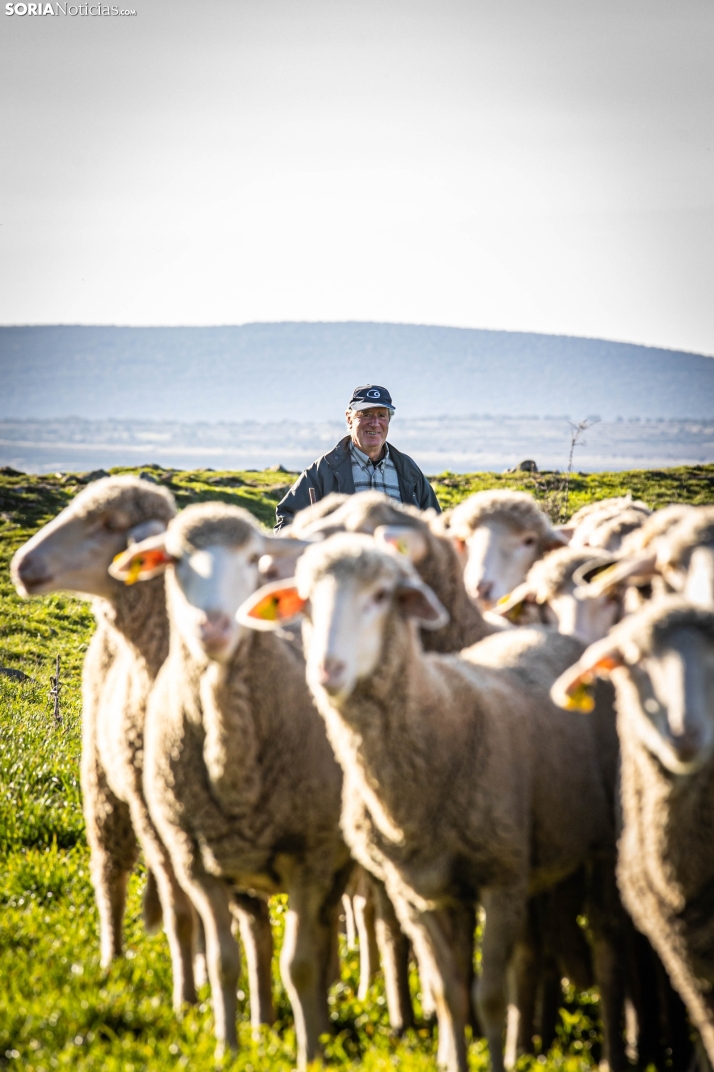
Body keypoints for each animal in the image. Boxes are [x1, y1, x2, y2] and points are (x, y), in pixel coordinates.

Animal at [109, 505, 377, 1067]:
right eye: (174, 559)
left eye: (253, 558)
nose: (214, 626)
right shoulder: (197, 864)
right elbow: (222, 962)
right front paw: (226, 1048)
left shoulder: (311, 857)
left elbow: (300, 964)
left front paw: (312, 1052)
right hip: (242, 867)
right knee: (256, 938)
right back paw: (262, 1022)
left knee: (322, 935)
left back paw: (320, 1010)